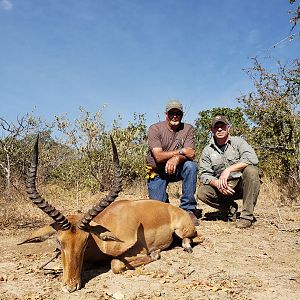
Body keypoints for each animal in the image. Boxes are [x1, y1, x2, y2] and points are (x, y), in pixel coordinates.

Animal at [20, 135, 204, 292]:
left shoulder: (135, 250)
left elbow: (116, 264)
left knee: (196, 237)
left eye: (86, 241)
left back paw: (186, 247)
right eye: (59, 241)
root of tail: (175, 210)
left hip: (182, 231)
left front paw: (155, 253)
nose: (71, 286)